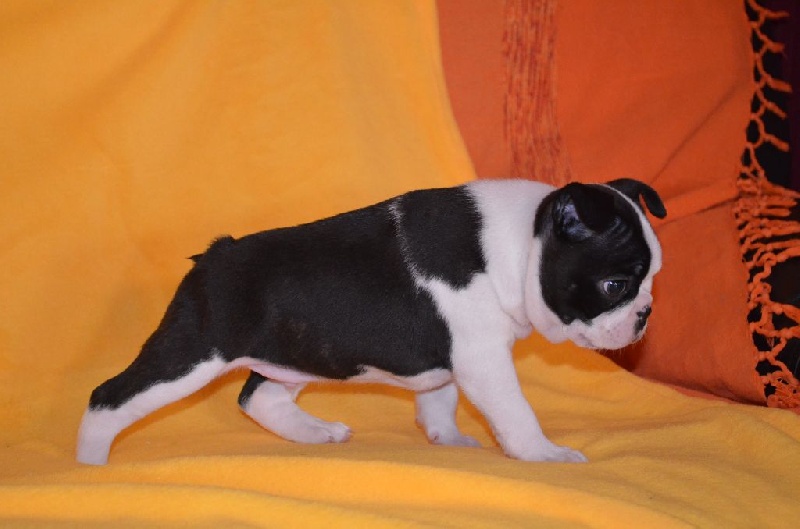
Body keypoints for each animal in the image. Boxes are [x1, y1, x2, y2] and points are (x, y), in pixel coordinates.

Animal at [77, 178, 665, 465]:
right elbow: (515, 413)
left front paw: (448, 440)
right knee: (110, 396)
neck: (521, 241)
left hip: (292, 358)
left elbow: (438, 399)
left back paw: (314, 432)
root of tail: (215, 255)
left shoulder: (456, 357)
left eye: (653, 280)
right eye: (616, 285)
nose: (644, 315)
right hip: (192, 352)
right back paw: (89, 465)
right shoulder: (483, 358)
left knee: (258, 397)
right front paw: (544, 455)